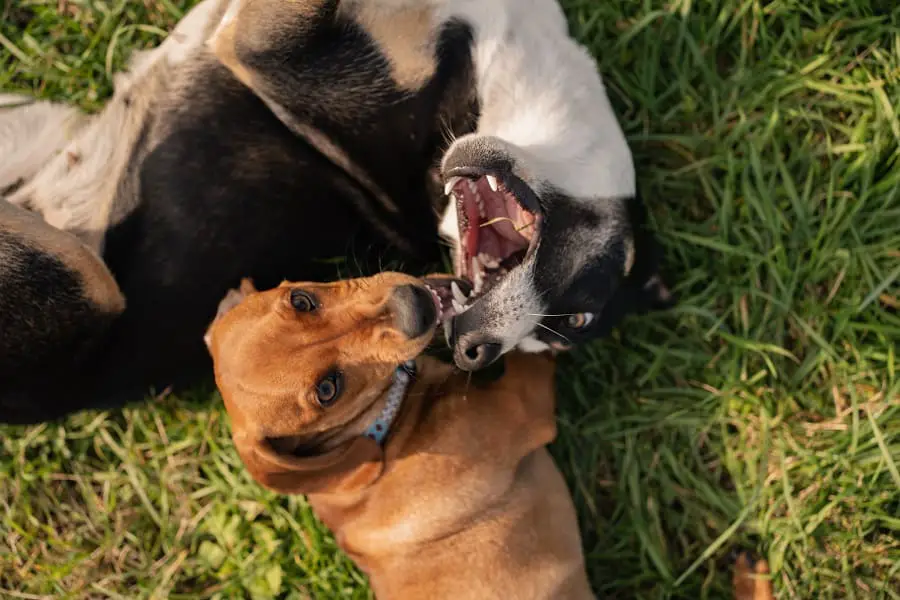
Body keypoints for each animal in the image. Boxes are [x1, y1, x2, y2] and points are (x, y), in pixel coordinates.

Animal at [206, 272, 596, 600]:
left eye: (301, 300)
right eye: (328, 389)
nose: (414, 305)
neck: (383, 428)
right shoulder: (522, 401)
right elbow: (529, 343)